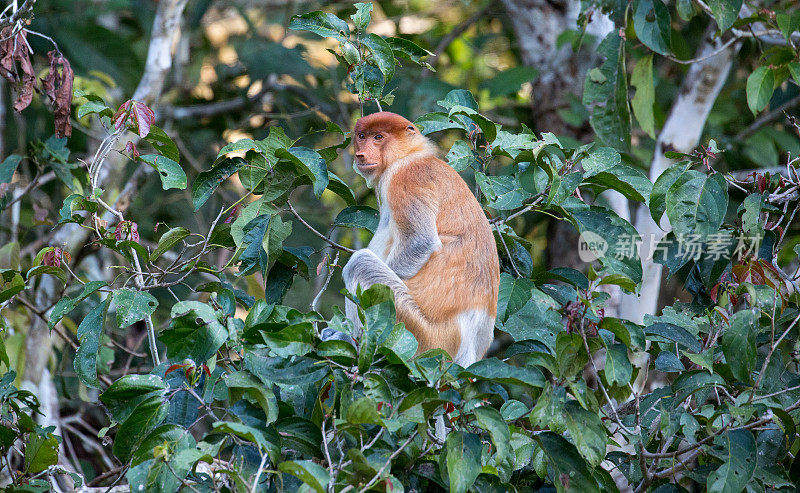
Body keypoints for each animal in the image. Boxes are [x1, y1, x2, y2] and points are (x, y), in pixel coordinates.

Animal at [340, 111, 496, 366]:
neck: (410, 154)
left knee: (361, 265)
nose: (360, 154)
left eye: (378, 137)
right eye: (362, 136)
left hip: (422, 335)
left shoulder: (407, 178)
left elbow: (420, 242)